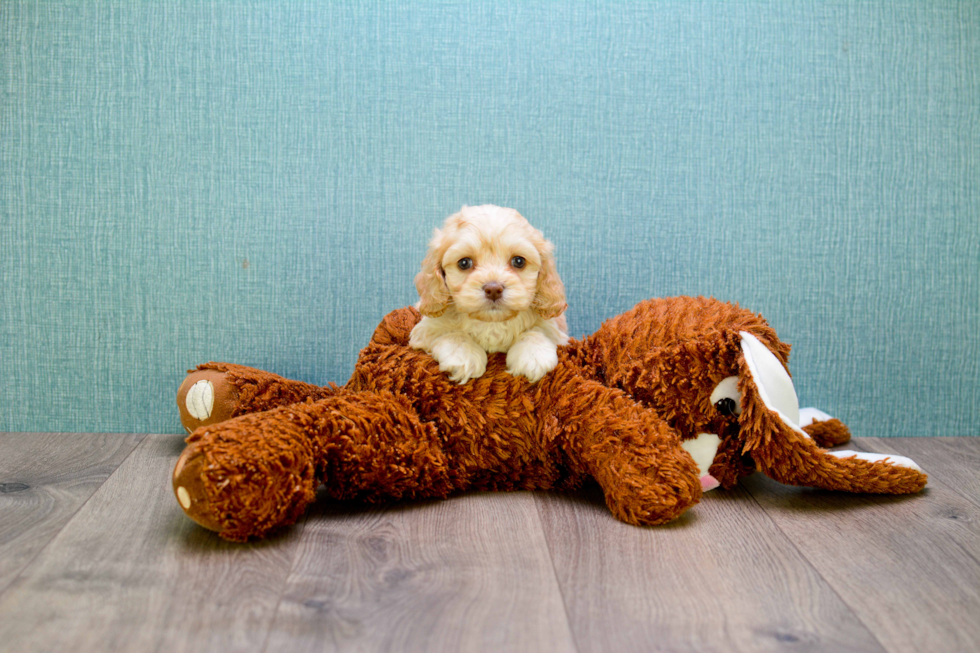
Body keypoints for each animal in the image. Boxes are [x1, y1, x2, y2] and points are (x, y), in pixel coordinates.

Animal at [410, 205, 572, 382]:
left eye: (519, 261)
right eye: (464, 263)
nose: (493, 289)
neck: (492, 322)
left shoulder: (556, 330)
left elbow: (537, 330)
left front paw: (533, 356)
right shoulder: (426, 329)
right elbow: (451, 332)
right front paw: (463, 355)